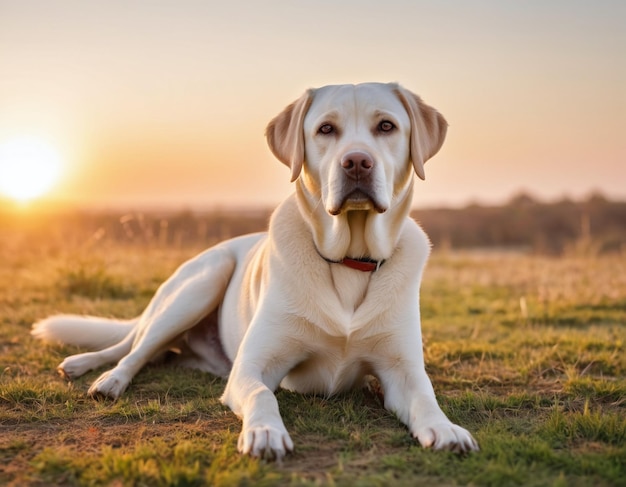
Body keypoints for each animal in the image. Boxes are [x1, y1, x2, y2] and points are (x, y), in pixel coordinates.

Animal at [33, 82, 478, 460]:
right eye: (326, 129)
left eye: (386, 126)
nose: (356, 162)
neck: (350, 259)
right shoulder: (252, 367)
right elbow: (265, 395)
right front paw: (264, 432)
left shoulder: (402, 371)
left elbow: (425, 398)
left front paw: (446, 429)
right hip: (201, 283)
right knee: (132, 348)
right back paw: (98, 372)